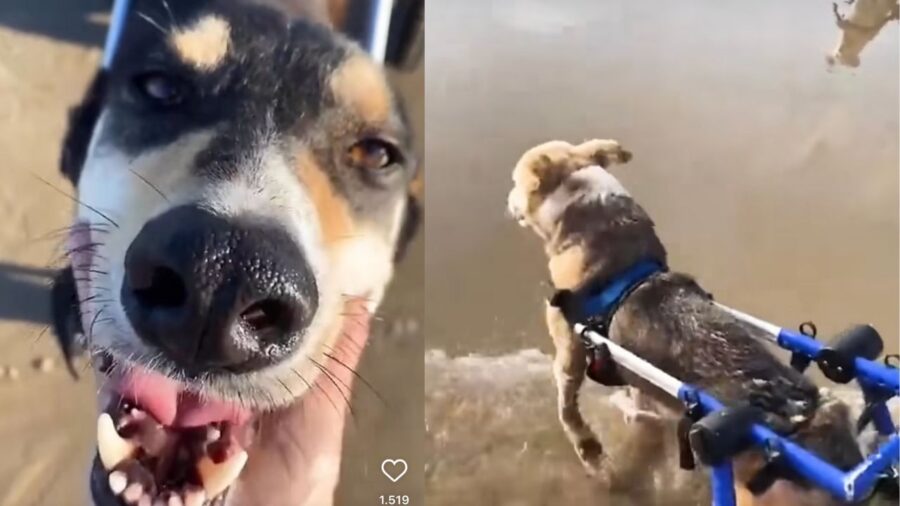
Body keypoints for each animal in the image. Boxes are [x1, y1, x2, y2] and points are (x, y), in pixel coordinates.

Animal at [506, 139, 864, 506]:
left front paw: (591, 453)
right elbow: (637, 397)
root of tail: (805, 418)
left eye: (515, 182)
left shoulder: (570, 350)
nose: (508, 201)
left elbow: (568, 410)